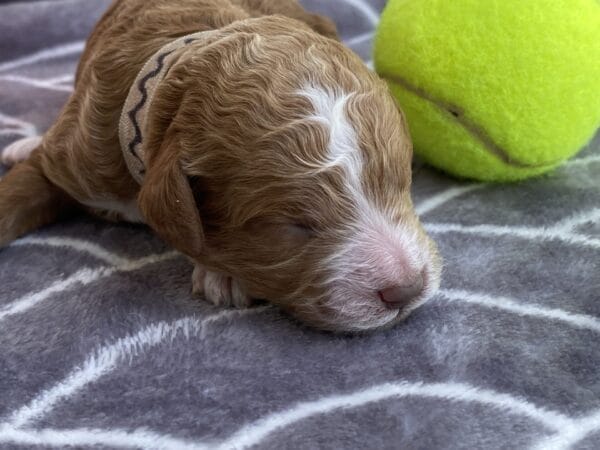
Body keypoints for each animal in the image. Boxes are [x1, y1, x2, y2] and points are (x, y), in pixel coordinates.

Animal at [0, 0, 440, 330]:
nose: (406, 289)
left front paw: (223, 273)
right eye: (292, 225)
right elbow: (18, 193)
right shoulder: (77, 156)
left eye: (402, 182)